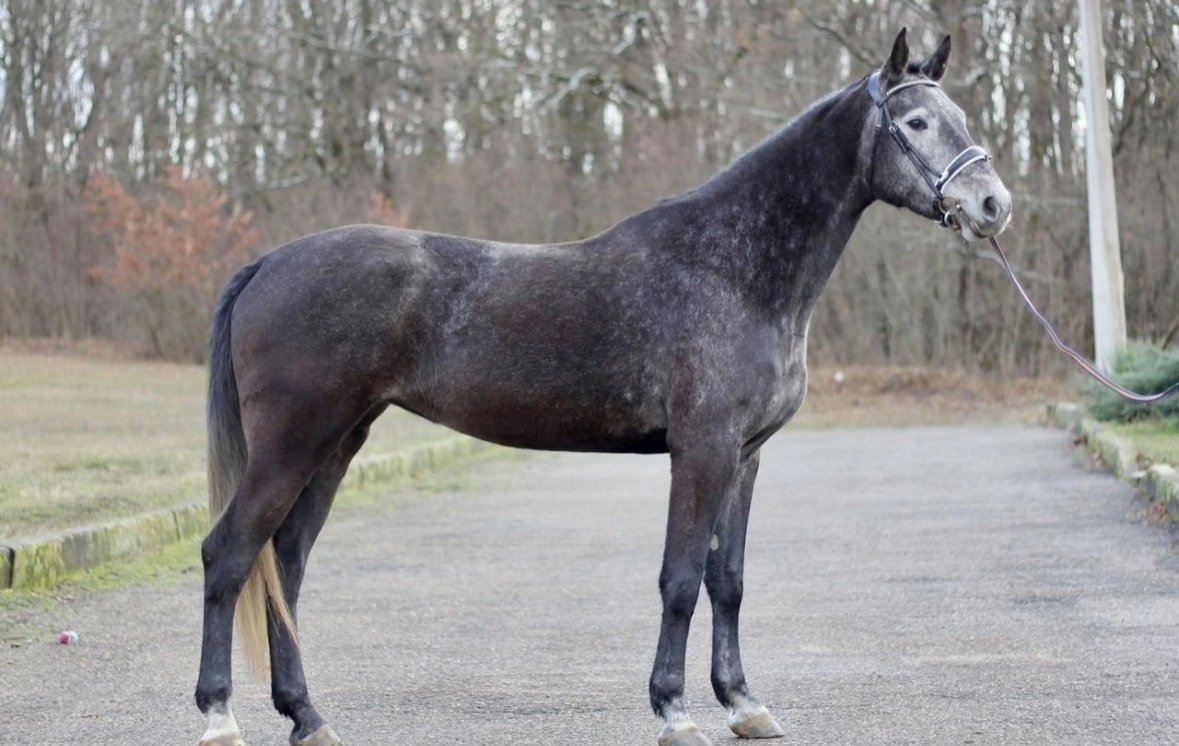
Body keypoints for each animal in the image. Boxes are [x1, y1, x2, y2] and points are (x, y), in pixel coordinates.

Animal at [196, 28, 1012, 746]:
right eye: (915, 121)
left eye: (963, 119)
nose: (992, 205)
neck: (734, 267)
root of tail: (267, 264)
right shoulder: (702, 450)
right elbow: (680, 578)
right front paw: (675, 712)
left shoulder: (745, 456)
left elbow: (728, 580)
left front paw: (745, 705)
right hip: (293, 444)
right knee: (230, 555)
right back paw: (219, 717)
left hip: (337, 443)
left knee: (286, 566)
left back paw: (307, 717)